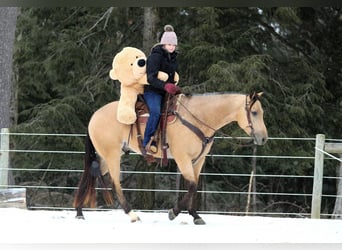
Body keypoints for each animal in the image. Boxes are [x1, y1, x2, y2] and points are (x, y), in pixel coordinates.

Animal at [73, 91, 268, 225]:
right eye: (255, 112)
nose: (264, 138)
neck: (197, 118)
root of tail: (94, 115)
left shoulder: (199, 160)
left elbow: (195, 187)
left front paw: (195, 216)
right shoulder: (182, 158)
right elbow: (191, 185)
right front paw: (174, 212)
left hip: (105, 156)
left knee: (89, 175)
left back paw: (79, 211)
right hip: (112, 155)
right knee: (115, 184)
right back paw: (132, 214)